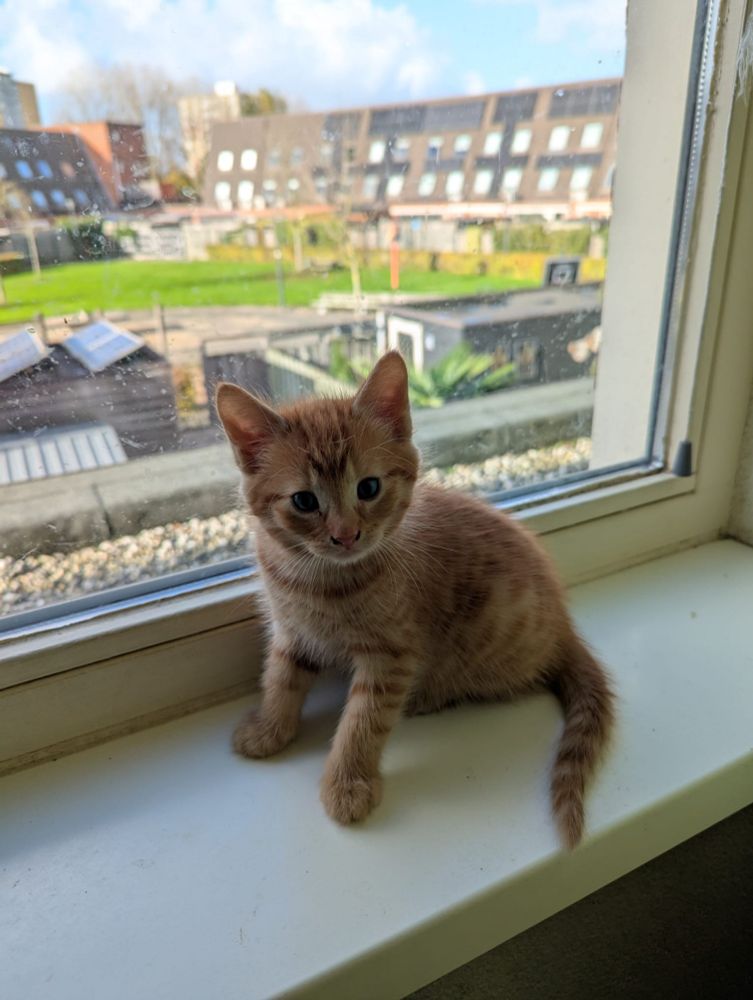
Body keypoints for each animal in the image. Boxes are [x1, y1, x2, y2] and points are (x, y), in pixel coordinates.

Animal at [216, 350, 614, 848]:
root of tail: (564, 627)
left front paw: (348, 784)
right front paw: (270, 729)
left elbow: (364, 721)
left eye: (368, 488)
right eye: (304, 501)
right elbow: (280, 678)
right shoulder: (291, 631)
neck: (319, 579)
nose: (346, 535)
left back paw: (430, 696)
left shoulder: (392, 655)